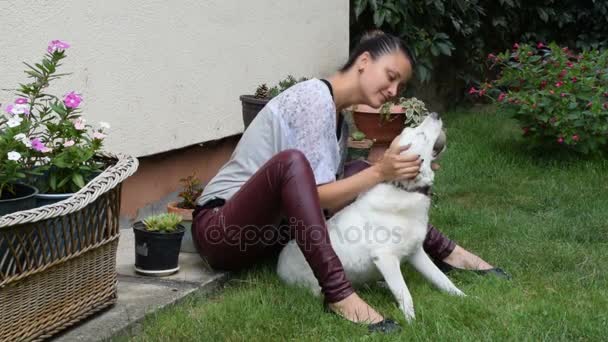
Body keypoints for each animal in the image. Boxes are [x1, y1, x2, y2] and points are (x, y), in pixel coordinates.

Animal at [278, 112, 464, 320]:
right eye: (421, 135)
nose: (435, 114)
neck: (403, 189)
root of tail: (279, 267)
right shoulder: (385, 257)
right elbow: (405, 293)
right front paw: (411, 321)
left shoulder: (416, 253)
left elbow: (441, 278)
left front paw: (463, 297)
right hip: (316, 288)